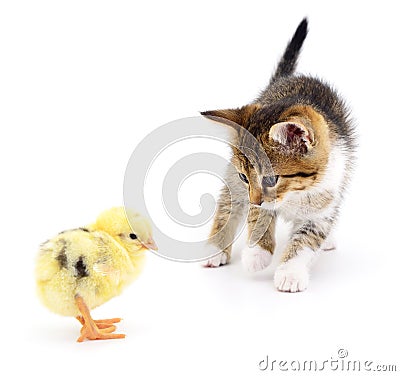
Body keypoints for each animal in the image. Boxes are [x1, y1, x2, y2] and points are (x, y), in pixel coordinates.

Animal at [202, 19, 354, 292]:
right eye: (245, 177)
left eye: (271, 179)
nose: (254, 199)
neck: (296, 193)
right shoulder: (247, 190)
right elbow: (258, 215)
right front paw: (257, 254)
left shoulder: (327, 197)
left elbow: (307, 238)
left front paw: (290, 272)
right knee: (229, 203)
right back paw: (216, 249)